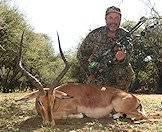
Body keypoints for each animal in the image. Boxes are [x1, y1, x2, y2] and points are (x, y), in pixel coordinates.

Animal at [17, 31, 146, 127]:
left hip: (120, 105)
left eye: (53, 100)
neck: (61, 100)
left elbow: (73, 115)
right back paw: (115, 116)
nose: (49, 123)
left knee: (142, 116)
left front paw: (80, 115)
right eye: (40, 101)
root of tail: (135, 98)